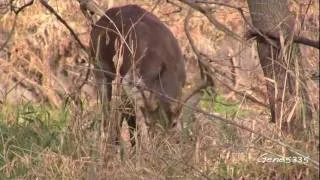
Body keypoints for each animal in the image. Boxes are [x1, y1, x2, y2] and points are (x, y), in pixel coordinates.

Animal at [89, 4, 186, 148]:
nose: (161, 145)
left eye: (173, 124)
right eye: (150, 123)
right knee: (108, 111)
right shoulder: (130, 82)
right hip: (100, 67)